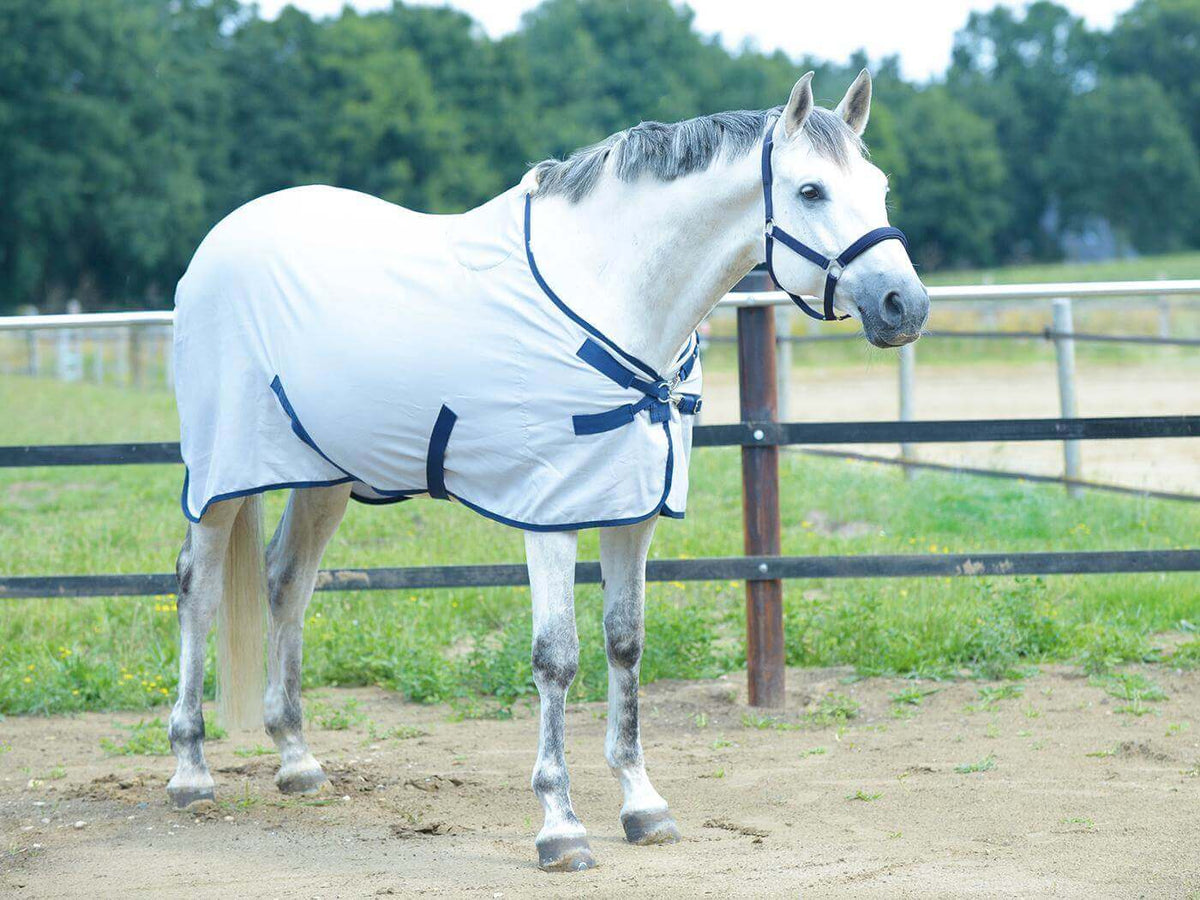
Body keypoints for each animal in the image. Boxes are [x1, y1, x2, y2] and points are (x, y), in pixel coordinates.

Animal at [166, 69, 928, 872]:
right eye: (811, 190)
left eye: (878, 187)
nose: (904, 305)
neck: (610, 293)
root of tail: (223, 238)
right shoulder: (549, 510)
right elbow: (556, 658)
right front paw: (561, 826)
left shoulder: (632, 512)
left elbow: (626, 644)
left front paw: (643, 805)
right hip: (220, 476)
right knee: (198, 587)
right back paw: (190, 770)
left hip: (323, 477)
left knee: (287, 583)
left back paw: (297, 761)